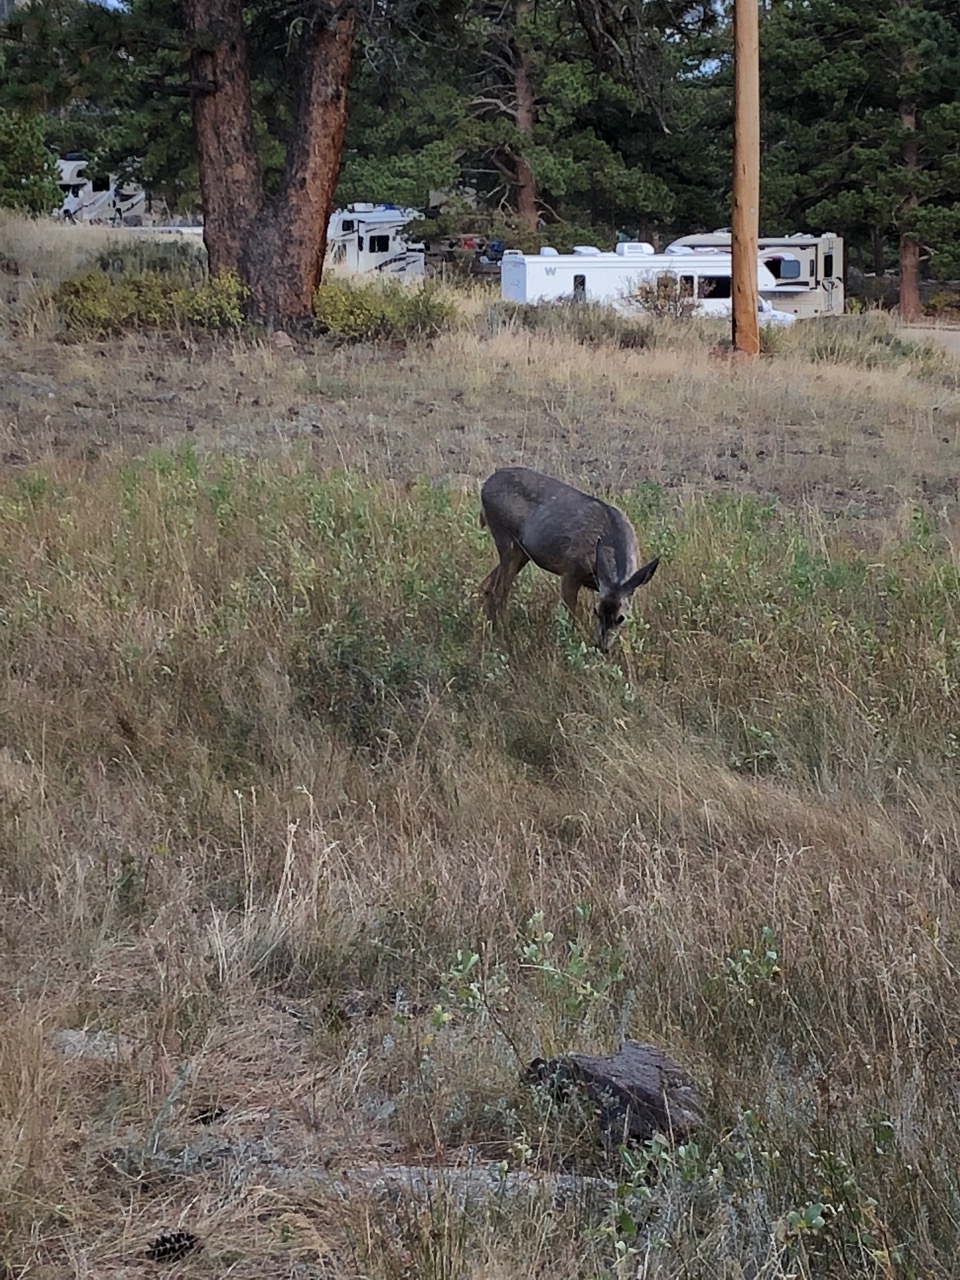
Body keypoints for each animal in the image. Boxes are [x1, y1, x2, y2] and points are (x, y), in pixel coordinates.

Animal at [479, 466, 660, 652]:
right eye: (596, 611)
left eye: (621, 618)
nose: (601, 647)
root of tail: (485, 486)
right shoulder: (571, 571)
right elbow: (569, 614)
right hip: (507, 540)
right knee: (499, 591)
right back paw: (501, 635)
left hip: (522, 552)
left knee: (487, 585)